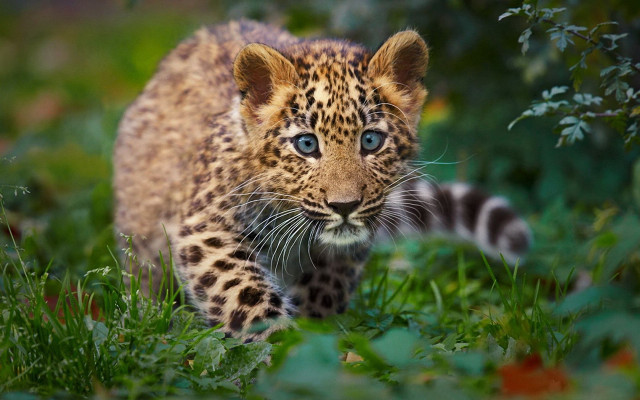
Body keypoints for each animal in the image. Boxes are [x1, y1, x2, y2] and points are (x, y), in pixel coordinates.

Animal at [113, 20, 531, 341]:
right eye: (306, 144)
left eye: (371, 141)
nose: (344, 206)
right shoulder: (206, 228)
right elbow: (241, 292)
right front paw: (279, 346)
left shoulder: (347, 245)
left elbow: (327, 286)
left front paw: (315, 338)